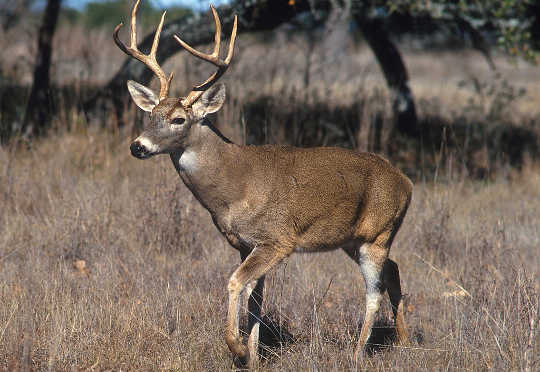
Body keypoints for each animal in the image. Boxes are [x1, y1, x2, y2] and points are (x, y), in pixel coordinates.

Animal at [116, 0, 414, 366]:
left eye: (178, 119)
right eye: (150, 115)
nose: (137, 146)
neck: (234, 188)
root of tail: (407, 182)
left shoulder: (277, 239)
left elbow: (235, 283)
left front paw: (238, 348)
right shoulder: (246, 244)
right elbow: (256, 298)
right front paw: (255, 357)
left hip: (378, 233)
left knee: (374, 291)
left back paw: (357, 354)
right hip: (353, 238)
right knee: (394, 269)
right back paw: (404, 341)